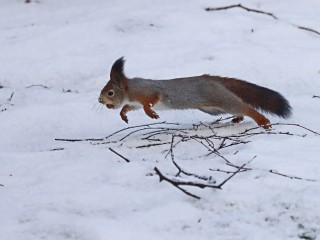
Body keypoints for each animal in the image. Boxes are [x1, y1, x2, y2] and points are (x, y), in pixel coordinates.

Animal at [98, 57, 292, 128]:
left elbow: (150, 101)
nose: (99, 100)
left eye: (110, 93)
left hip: (220, 99)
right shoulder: (134, 102)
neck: (131, 90)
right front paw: (123, 114)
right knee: (239, 110)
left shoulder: (149, 91)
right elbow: (129, 108)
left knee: (245, 107)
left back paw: (262, 121)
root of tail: (214, 80)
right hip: (213, 109)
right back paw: (238, 119)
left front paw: (151, 113)